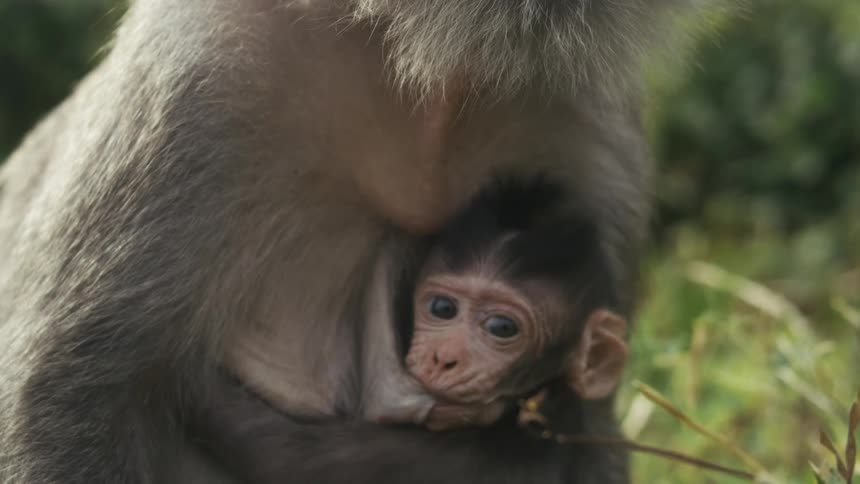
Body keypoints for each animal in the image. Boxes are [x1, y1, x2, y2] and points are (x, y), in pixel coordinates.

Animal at [0, 0, 710, 482]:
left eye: (503, 329)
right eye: (442, 309)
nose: (448, 357)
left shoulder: (590, 116)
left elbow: (584, 417)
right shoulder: (201, 69)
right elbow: (68, 392)